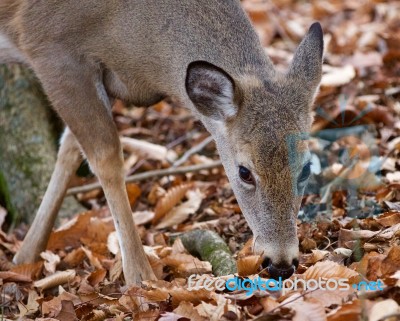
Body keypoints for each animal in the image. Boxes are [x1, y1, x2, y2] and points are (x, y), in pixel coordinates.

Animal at [0, 0, 324, 282]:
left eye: (306, 168)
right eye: (244, 172)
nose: (281, 264)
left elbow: (68, 150)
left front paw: (25, 255)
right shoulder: (50, 48)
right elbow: (106, 156)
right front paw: (139, 278)